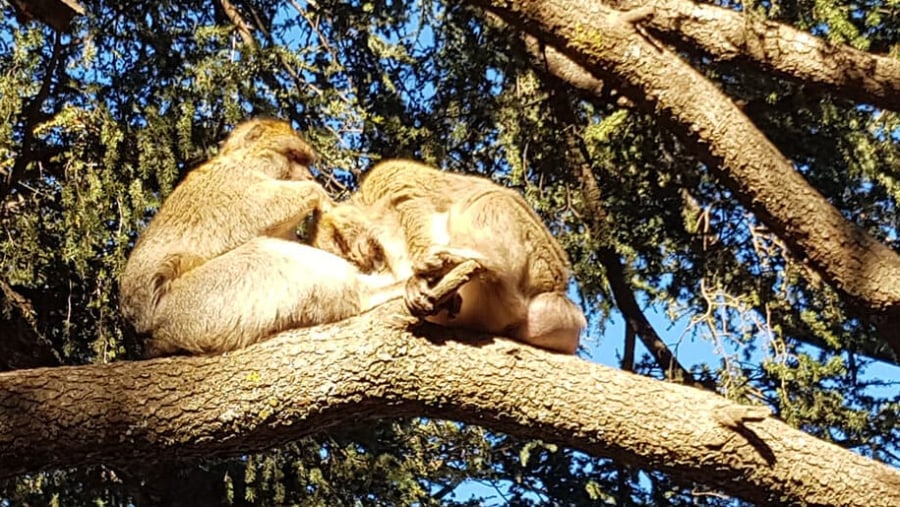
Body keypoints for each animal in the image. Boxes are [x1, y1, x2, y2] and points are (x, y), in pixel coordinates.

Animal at [119, 118, 400, 358]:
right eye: (293, 157)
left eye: (305, 161)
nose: (310, 176)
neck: (245, 162)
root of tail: (150, 337)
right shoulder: (231, 181)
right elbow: (254, 211)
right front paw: (319, 194)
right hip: (194, 307)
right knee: (264, 257)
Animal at [312, 159, 588, 354]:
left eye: (341, 242)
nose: (360, 260)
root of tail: (555, 290)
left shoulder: (393, 180)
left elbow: (414, 211)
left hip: (539, 259)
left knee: (488, 203)